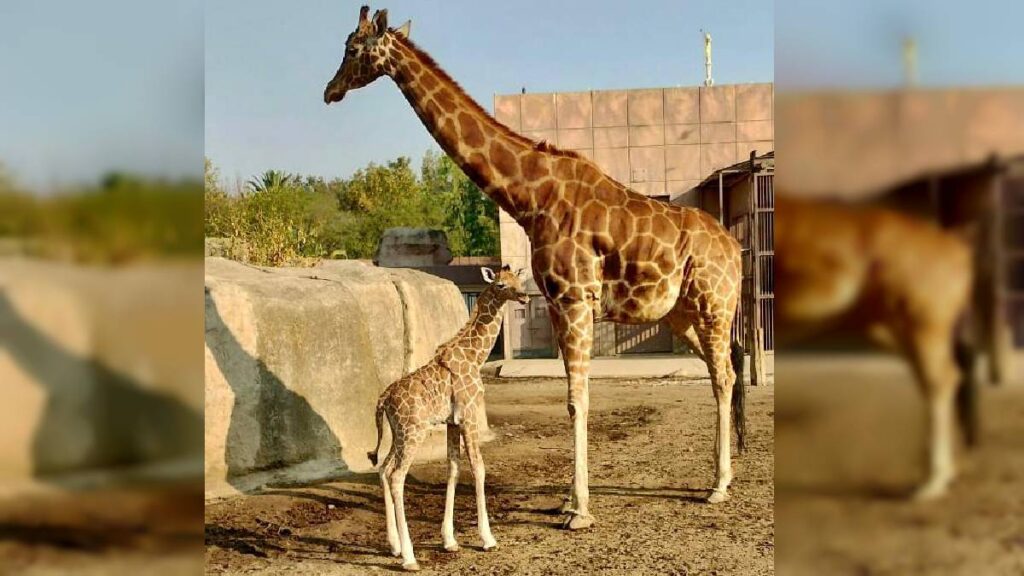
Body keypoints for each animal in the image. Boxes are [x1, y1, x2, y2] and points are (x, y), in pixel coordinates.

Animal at [325, 6, 746, 530]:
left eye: (353, 48)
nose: (330, 90)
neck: (531, 198)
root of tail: (735, 247)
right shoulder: (557, 303)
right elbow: (573, 398)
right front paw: (568, 500)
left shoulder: (574, 298)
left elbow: (576, 400)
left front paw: (579, 510)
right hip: (681, 314)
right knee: (718, 375)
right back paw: (719, 479)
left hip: (714, 305)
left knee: (725, 376)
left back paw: (719, 486)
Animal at [368, 266, 528, 571]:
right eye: (501, 285)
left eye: (519, 281)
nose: (524, 296)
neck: (475, 356)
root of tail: (383, 399)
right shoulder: (469, 416)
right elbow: (478, 468)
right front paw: (487, 539)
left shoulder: (453, 422)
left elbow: (452, 470)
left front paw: (449, 540)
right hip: (413, 432)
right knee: (396, 476)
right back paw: (409, 557)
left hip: (399, 433)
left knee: (383, 468)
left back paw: (394, 546)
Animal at [775, 194, 977, 499]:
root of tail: (956, 248)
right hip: (889, 327)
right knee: (939, 377)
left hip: (922, 322)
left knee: (939, 380)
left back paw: (933, 482)